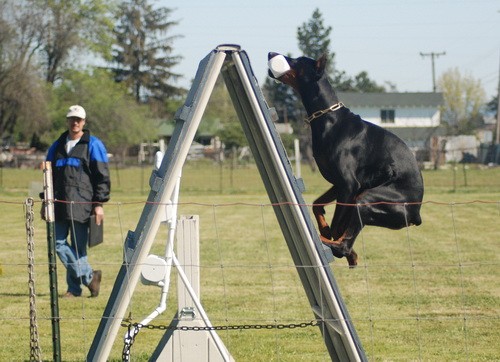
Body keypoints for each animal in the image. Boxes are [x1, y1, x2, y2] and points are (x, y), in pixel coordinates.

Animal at [268, 51, 424, 266]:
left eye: (297, 60)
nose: (271, 53)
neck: (328, 119)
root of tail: (416, 214)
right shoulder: (341, 184)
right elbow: (317, 205)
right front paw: (324, 227)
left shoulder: (349, 184)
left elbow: (337, 224)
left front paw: (328, 232)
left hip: (369, 199)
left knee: (344, 244)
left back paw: (330, 244)